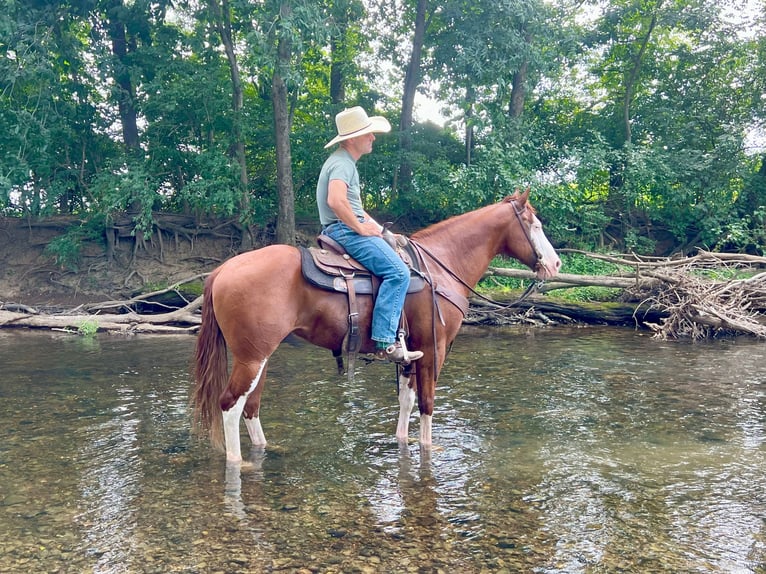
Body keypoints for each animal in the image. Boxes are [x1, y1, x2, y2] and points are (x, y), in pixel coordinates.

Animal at [192, 189, 561, 462]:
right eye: (536, 225)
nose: (556, 264)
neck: (440, 267)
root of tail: (222, 270)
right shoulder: (434, 349)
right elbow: (427, 404)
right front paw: (429, 448)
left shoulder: (411, 355)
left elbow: (406, 402)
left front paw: (402, 443)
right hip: (251, 358)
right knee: (230, 405)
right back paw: (238, 463)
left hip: (260, 357)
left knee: (251, 407)